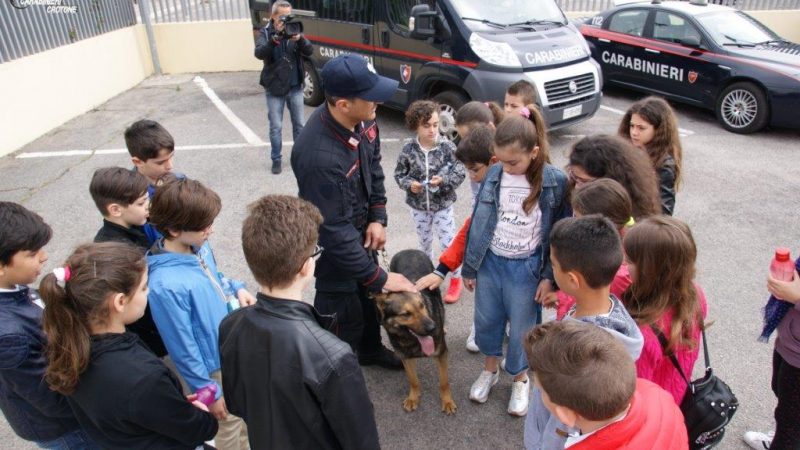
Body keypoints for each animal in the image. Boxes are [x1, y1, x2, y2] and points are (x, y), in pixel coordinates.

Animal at [370, 250, 454, 414]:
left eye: (422, 305)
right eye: (406, 314)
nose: (433, 328)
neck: (411, 340)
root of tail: (408, 250)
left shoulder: (441, 354)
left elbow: (444, 381)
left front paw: (447, 401)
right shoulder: (405, 357)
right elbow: (413, 380)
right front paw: (413, 398)